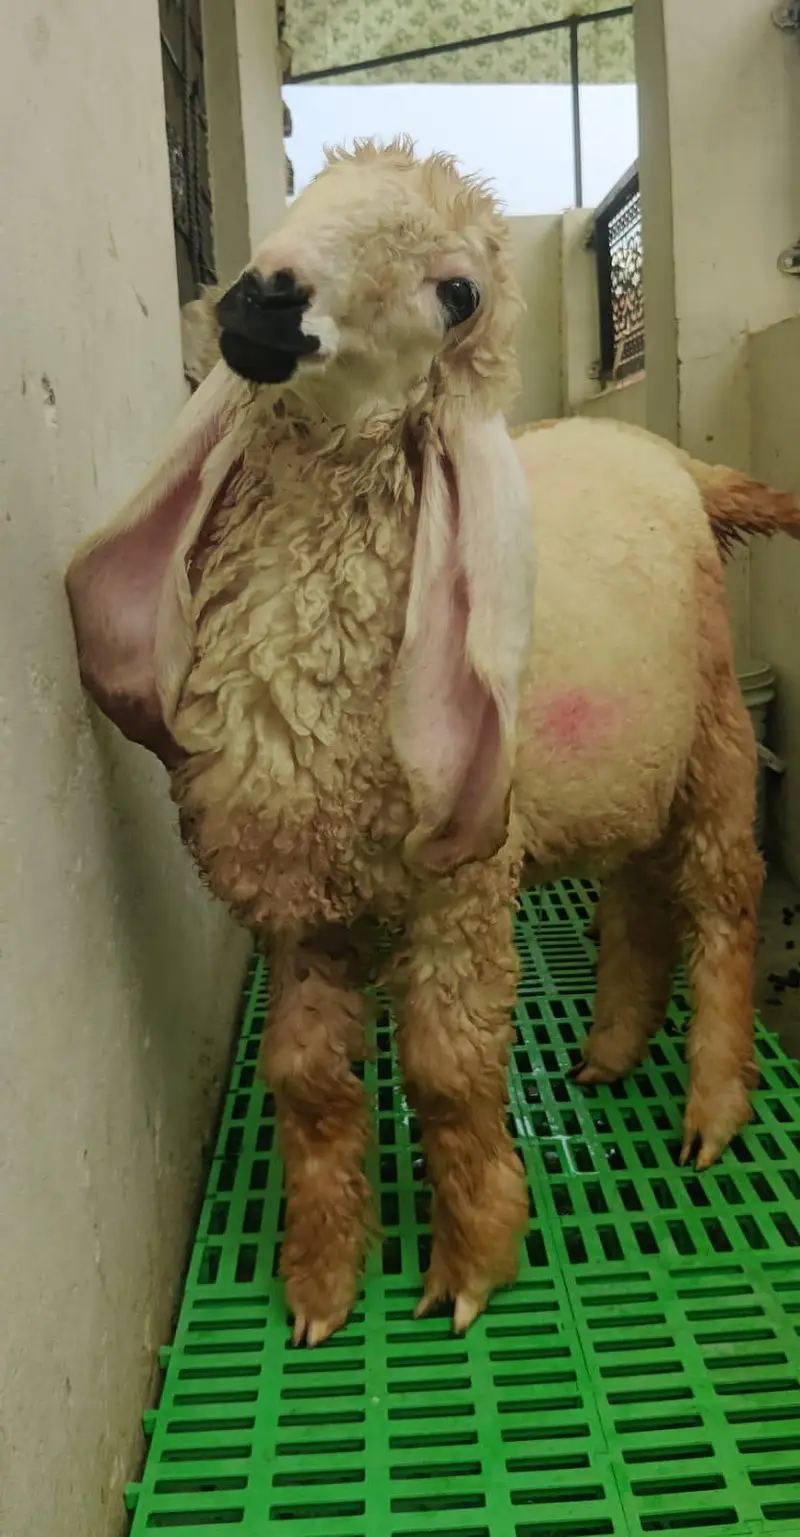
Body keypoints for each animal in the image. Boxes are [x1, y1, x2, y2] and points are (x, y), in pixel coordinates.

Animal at [65, 140, 800, 1345]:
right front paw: (318, 1284)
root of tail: (675, 461)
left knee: (721, 899)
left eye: (456, 292)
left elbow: (449, 1073)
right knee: (634, 894)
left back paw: (711, 1103)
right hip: (621, 765)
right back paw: (607, 1053)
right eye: (305, 193)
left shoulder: (462, 885)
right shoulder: (301, 900)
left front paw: (469, 1264)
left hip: (712, 740)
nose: (264, 297)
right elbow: (307, 1077)